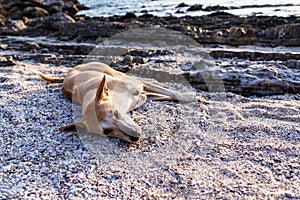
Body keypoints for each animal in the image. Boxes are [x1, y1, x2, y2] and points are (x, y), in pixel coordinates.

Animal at [39, 61, 195, 141]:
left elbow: (170, 92)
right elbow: (162, 95)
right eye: (107, 131)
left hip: (110, 70)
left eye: (115, 113)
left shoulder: (138, 87)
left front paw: (189, 96)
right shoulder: (144, 96)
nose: (135, 137)